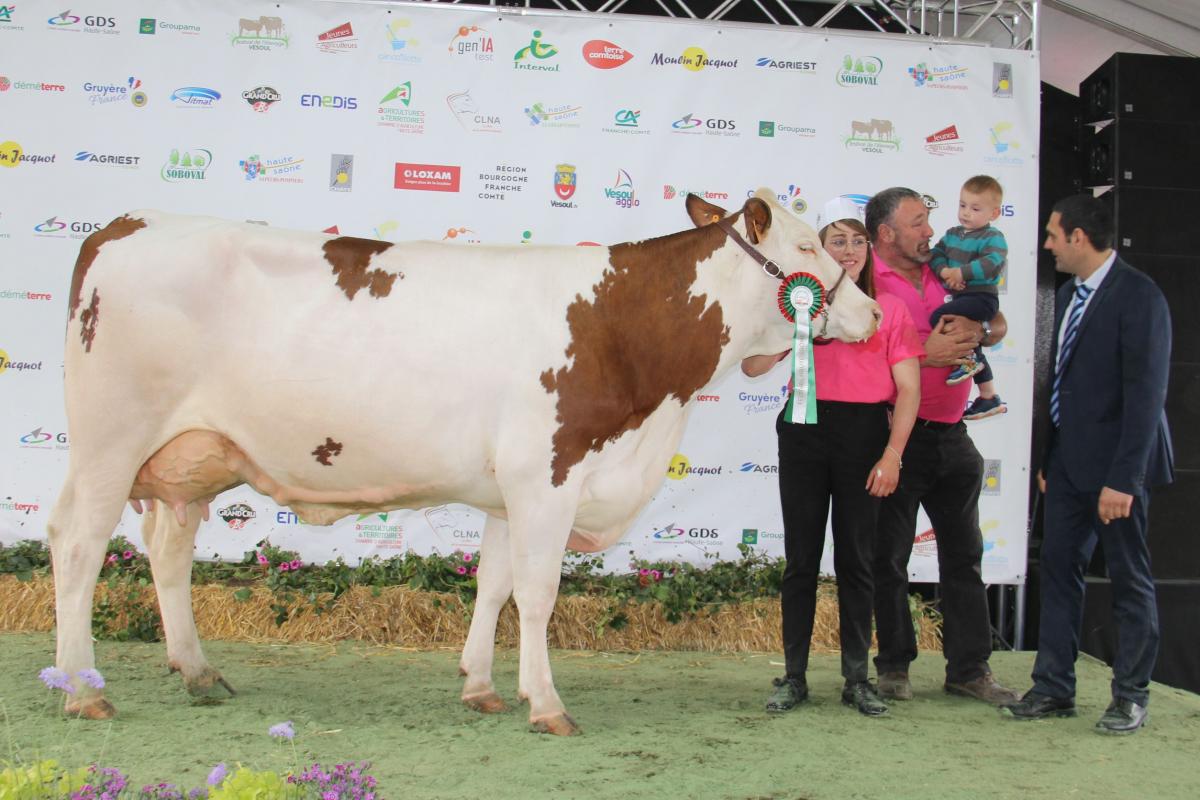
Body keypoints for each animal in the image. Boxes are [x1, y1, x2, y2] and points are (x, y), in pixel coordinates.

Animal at [51, 190, 878, 734]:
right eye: (809, 248)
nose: (871, 313)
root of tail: (125, 225)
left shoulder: (508, 488)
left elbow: (495, 586)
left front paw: (481, 687)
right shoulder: (547, 473)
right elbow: (539, 595)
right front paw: (547, 704)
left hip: (189, 457)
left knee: (166, 550)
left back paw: (197, 672)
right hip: (110, 438)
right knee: (78, 543)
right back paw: (83, 688)